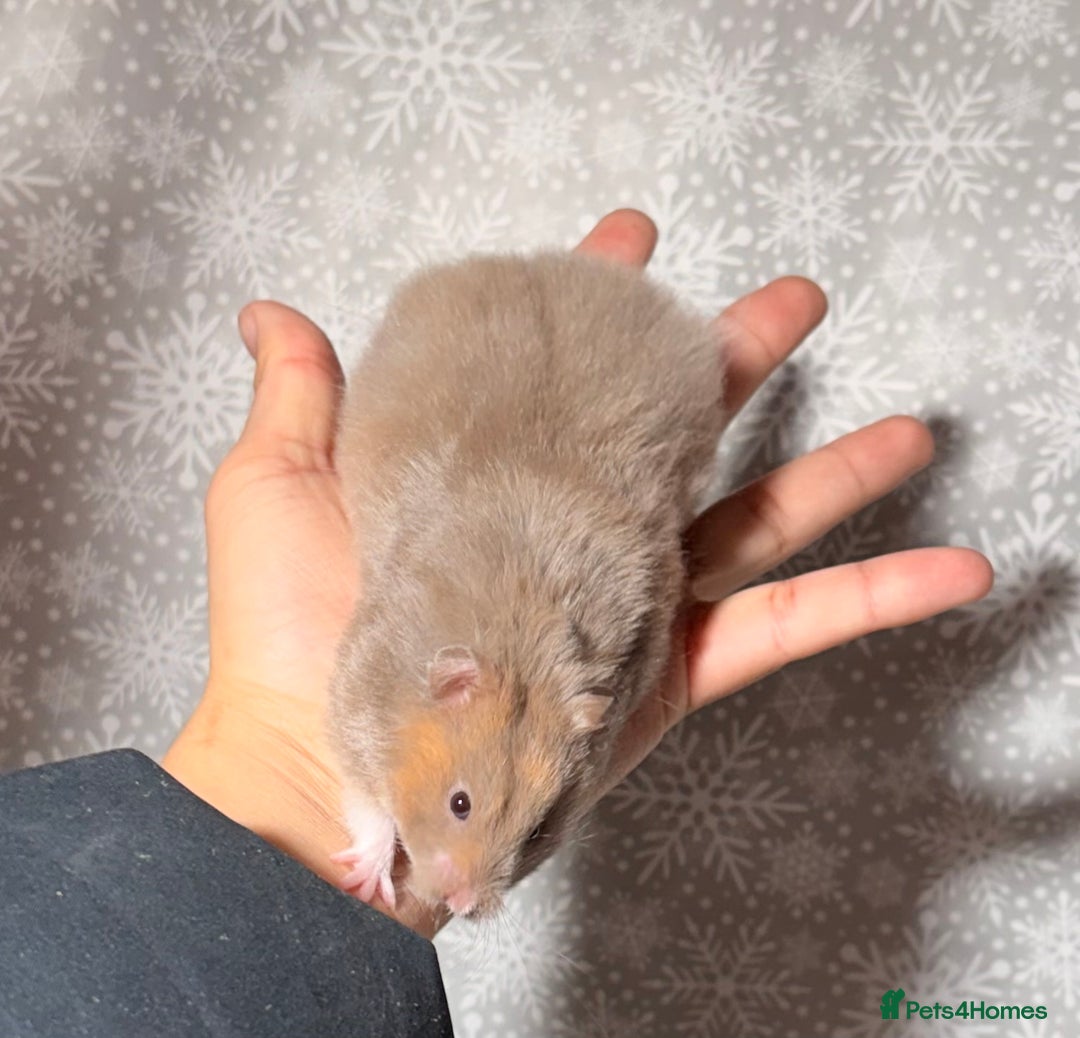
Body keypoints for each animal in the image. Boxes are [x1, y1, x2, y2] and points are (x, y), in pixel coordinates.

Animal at [327, 250, 726, 919]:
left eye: (537, 833)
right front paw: (366, 882)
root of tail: (533, 261)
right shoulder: (356, 700)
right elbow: (369, 805)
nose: (460, 905)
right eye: (459, 803)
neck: (528, 646)